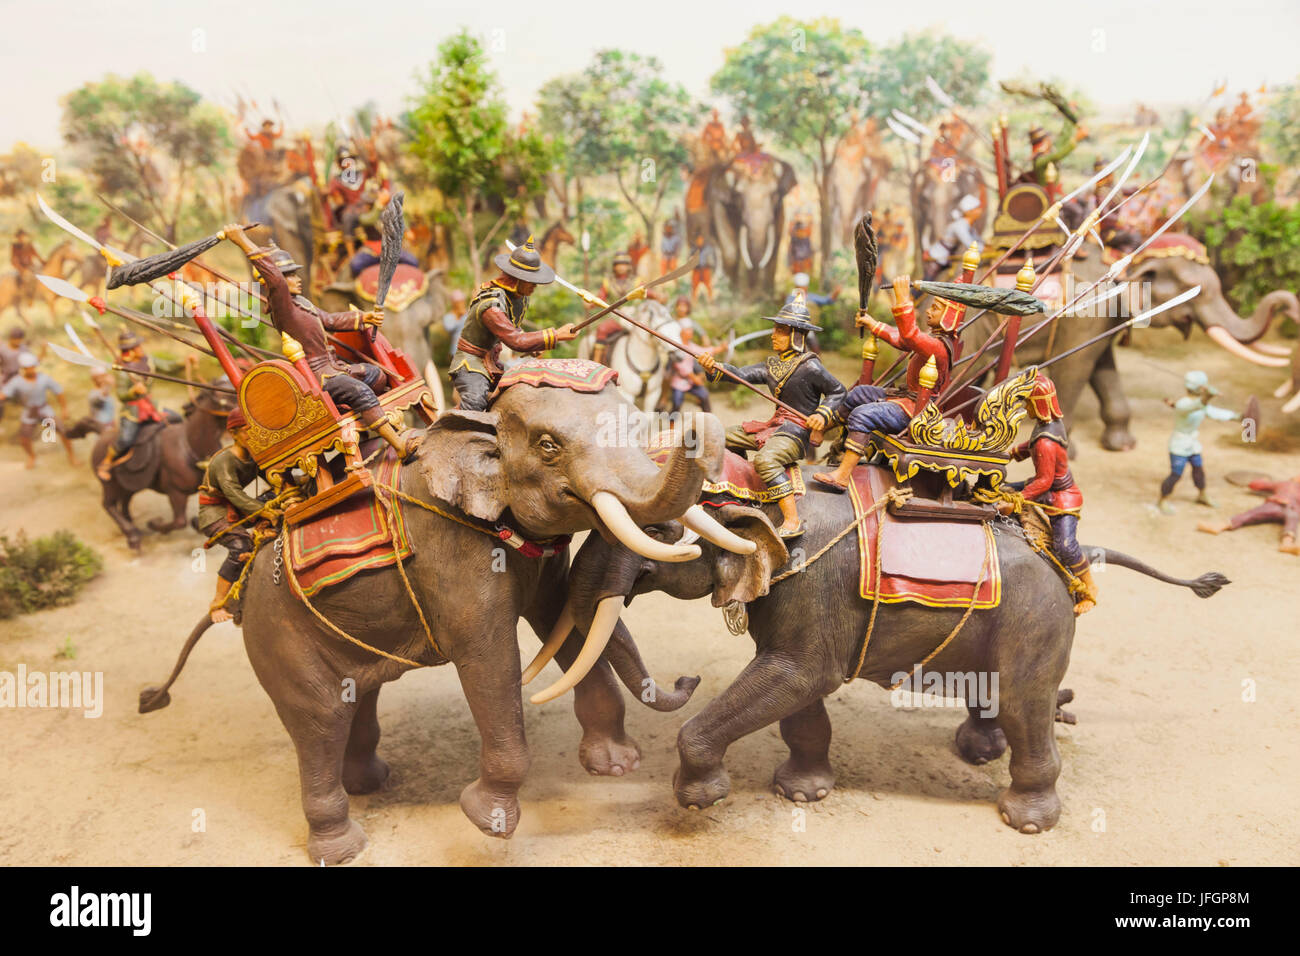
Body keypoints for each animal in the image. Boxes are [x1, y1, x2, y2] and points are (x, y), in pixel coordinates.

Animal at [91, 377, 236, 548]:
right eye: (228, 397)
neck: (188, 446)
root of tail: (103, 434)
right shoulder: (176, 492)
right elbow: (180, 522)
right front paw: (155, 524)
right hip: (110, 485)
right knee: (109, 505)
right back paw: (132, 535)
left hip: (128, 485)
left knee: (124, 501)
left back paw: (131, 525)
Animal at [138, 377, 754, 863]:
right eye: (548, 446)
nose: (689, 678)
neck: (477, 424)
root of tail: (236, 591)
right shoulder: (457, 556)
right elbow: (489, 658)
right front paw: (488, 821)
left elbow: (561, 615)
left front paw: (615, 768)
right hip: (279, 638)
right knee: (318, 718)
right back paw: (342, 846)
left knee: (355, 701)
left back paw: (370, 783)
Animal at [559, 476, 1227, 832]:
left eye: (659, 533)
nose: (688, 677)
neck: (766, 497)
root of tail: (1066, 555)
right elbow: (801, 692)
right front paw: (802, 794)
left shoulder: (811, 589)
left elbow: (798, 677)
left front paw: (701, 798)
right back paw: (983, 748)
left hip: (1035, 622)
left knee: (1024, 702)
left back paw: (1027, 818)